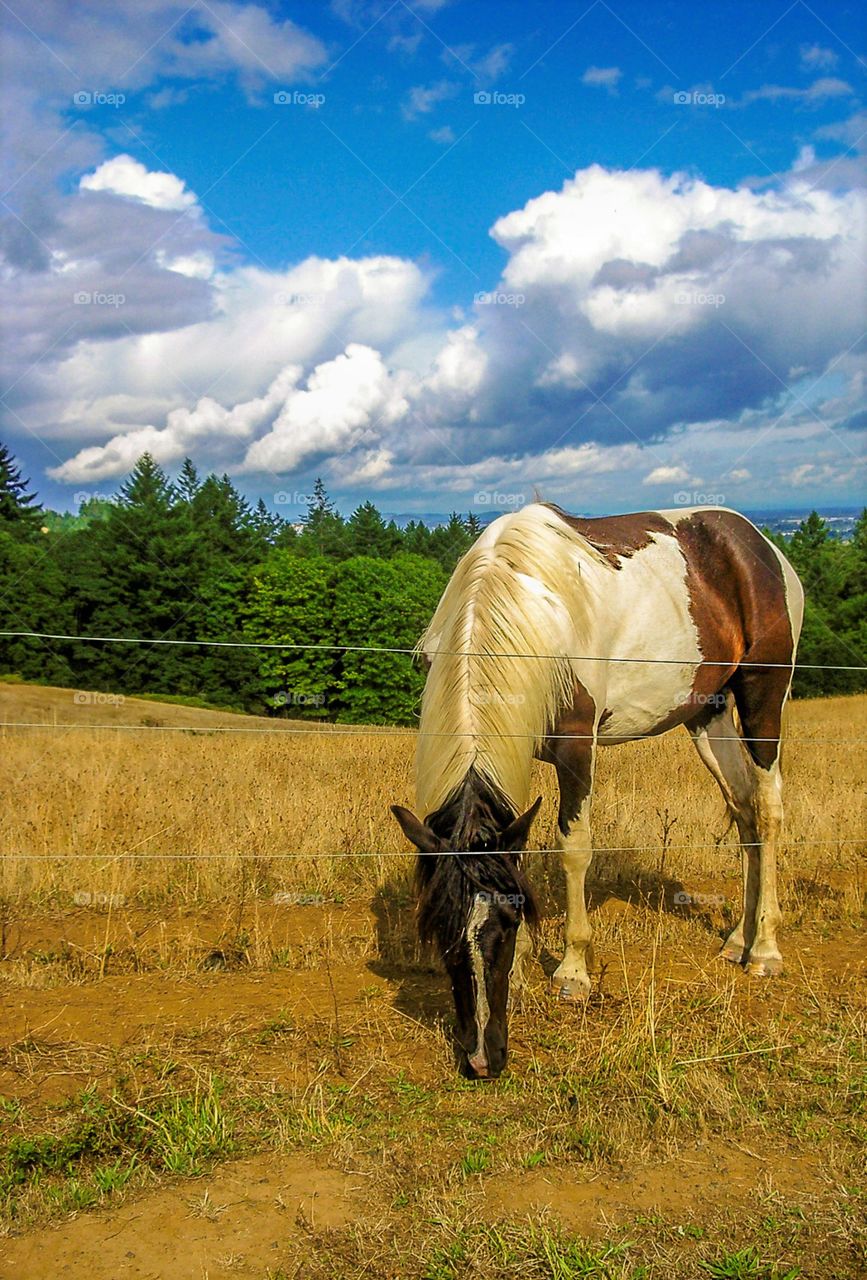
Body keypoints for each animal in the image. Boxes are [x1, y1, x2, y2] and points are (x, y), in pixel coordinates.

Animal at [391, 502, 804, 1080]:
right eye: (439, 930)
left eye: (504, 928)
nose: (481, 1060)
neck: (529, 607)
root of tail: (759, 543)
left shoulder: (575, 748)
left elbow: (574, 849)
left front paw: (571, 972)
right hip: (709, 712)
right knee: (742, 810)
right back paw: (737, 942)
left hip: (763, 696)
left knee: (767, 810)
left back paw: (764, 949)